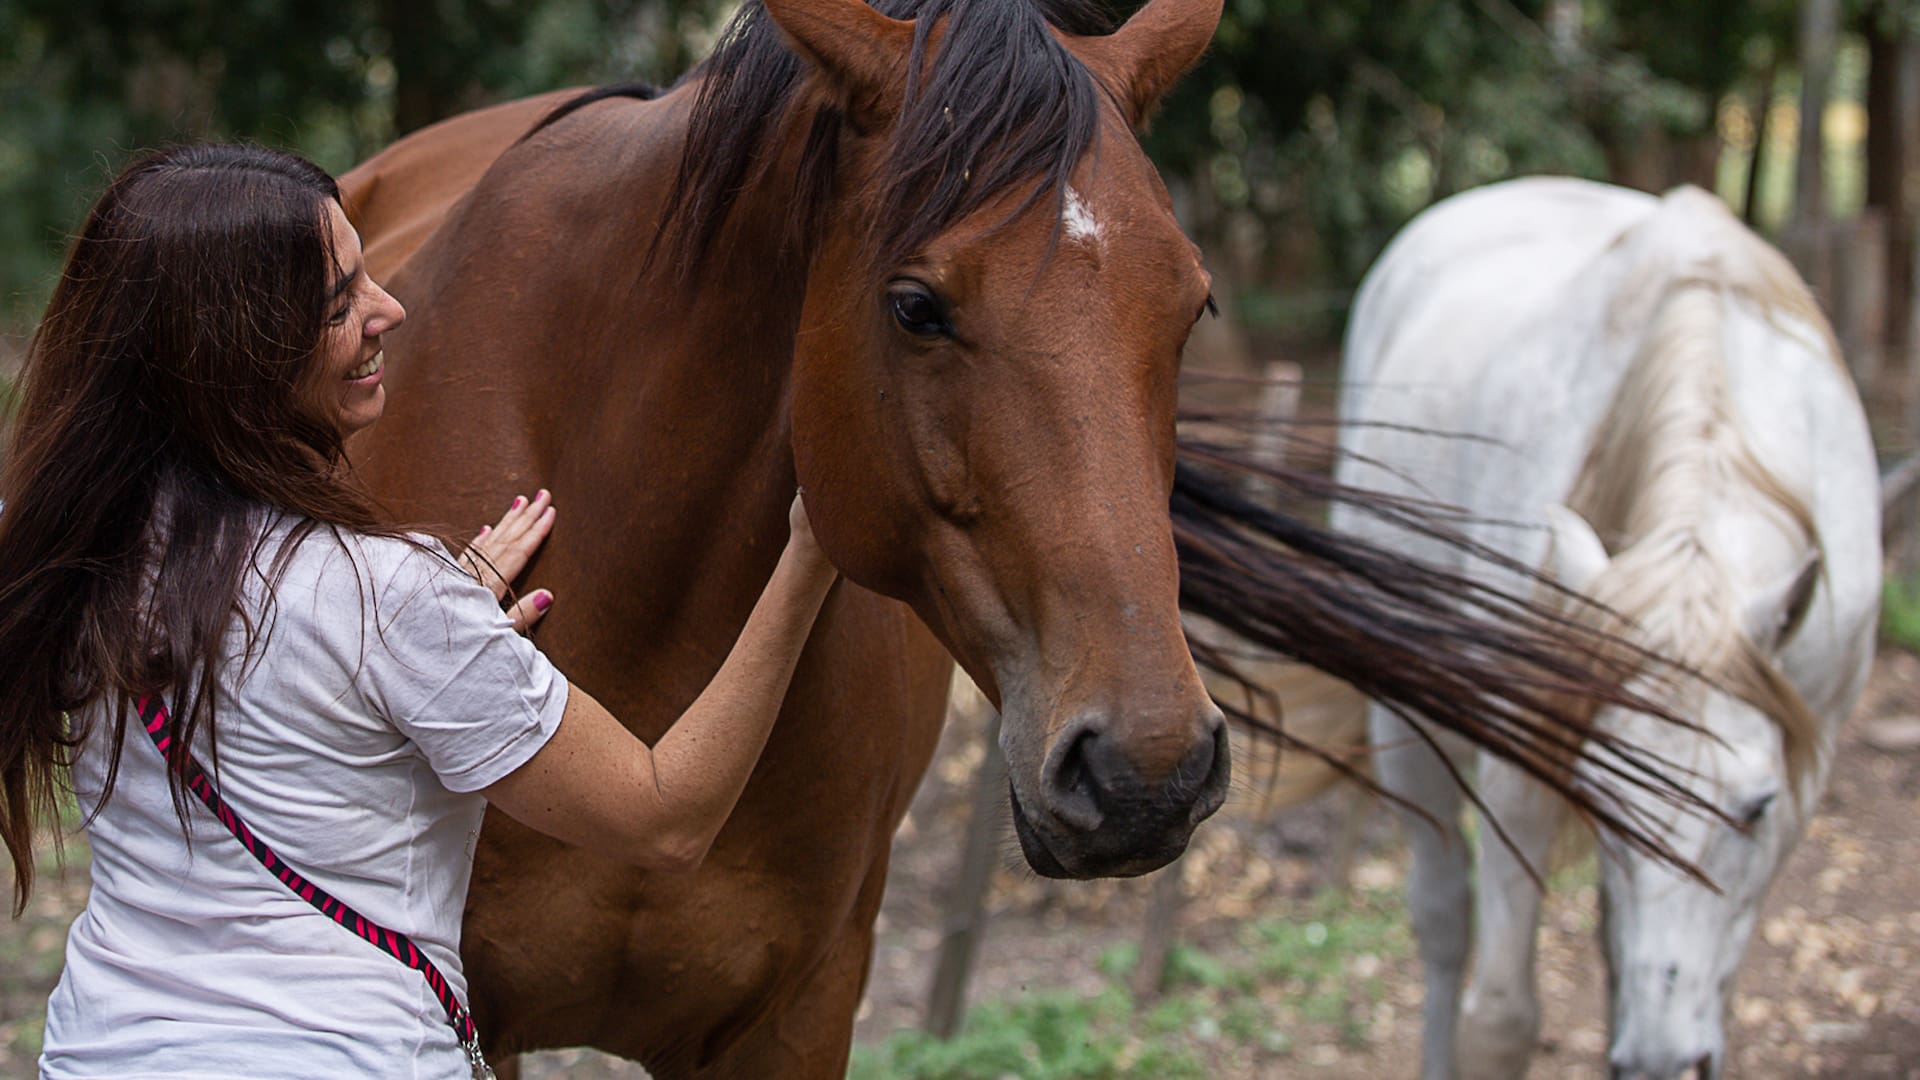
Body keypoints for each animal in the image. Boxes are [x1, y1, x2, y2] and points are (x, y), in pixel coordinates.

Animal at [1334, 177, 1880, 1080]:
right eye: (1597, 793)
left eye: (1757, 806)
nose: (1662, 1059)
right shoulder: (1521, 763)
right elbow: (1501, 1019)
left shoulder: (1806, 763)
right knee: (1443, 922)